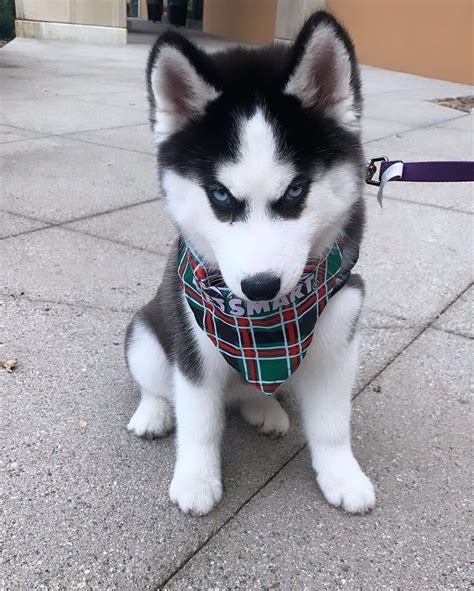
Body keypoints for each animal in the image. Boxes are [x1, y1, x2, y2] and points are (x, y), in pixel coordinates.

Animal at [125, 11, 374, 516]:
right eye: (221, 195)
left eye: (296, 190)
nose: (260, 286)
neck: (264, 329)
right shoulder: (192, 339)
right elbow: (199, 420)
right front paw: (196, 479)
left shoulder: (340, 331)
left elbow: (333, 424)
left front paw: (342, 474)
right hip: (147, 330)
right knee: (157, 382)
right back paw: (154, 411)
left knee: (248, 393)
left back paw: (264, 408)